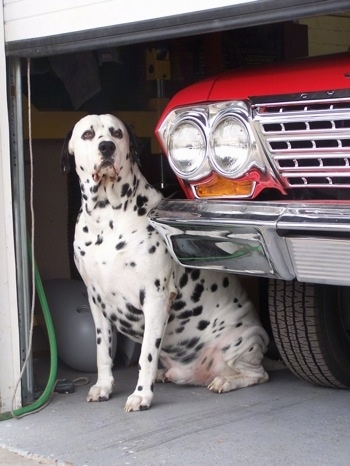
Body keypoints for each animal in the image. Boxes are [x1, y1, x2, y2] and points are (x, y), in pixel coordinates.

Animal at [60, 114, 270, 414]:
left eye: (116, 133)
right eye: (88, 134)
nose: (107, 147)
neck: (107, 216)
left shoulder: (155, 299)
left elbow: (146, 355)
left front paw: (142, 395)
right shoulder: (96, 301)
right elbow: (102, 350)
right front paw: (103, 386)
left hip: (243, 342)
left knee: (257, 374)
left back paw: (225, 381)